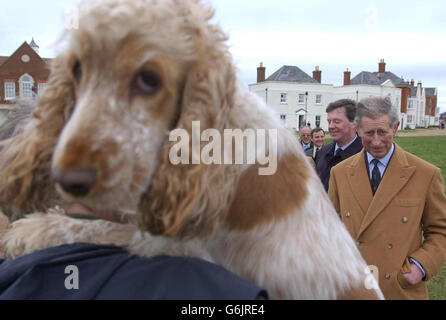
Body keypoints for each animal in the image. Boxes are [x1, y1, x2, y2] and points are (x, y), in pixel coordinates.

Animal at [0, 0, 384, 300]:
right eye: (77, 69)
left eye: (149, 79)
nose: (68, 179)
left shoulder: (174, 243)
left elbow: (92, 227)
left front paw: (26, 232)